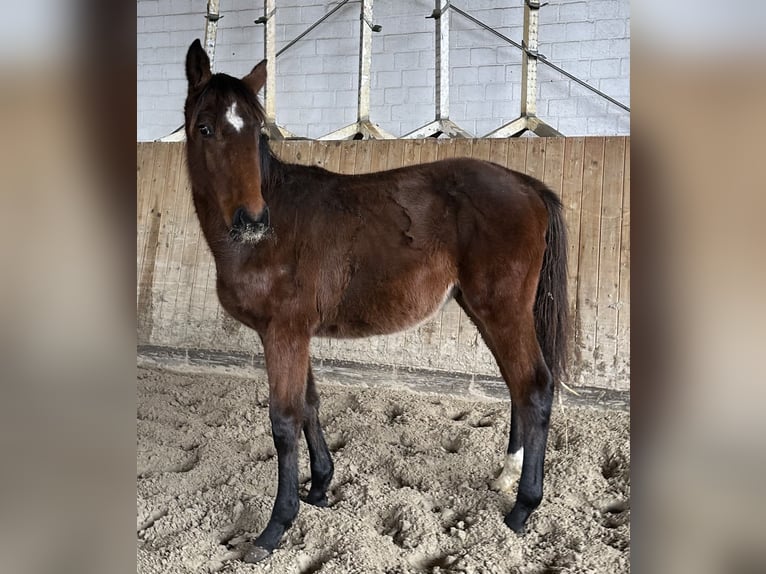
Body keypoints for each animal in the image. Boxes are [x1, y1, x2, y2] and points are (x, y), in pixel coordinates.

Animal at [183, 39, 568, 563]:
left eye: (256, 128)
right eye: (204, 127)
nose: (252, 219)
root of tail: (527, 184)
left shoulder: (282, 333)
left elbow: (284, 421)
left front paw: (276, 527)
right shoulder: (295, 335)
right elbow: (310, 405)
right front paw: (320, 488)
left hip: (502, 311)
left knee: (534, 387)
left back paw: (523, 508)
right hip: (486, 311)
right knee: (517, 387)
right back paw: (506, 477)